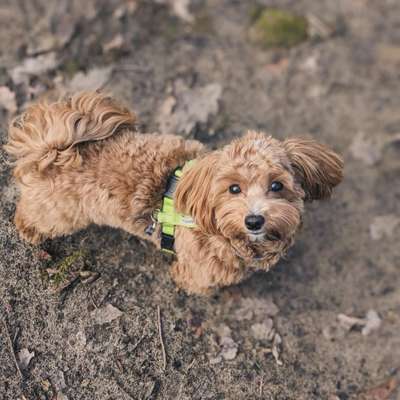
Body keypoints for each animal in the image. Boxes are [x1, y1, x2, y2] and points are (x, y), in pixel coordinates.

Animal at [5, 93, 344, 294]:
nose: (254, 220)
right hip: (57, 213)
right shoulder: (199, 268)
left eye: (277, 186)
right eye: (233, 188)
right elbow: (195, 281)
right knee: (31, 216)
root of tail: (55, 151)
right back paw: (29, 231)